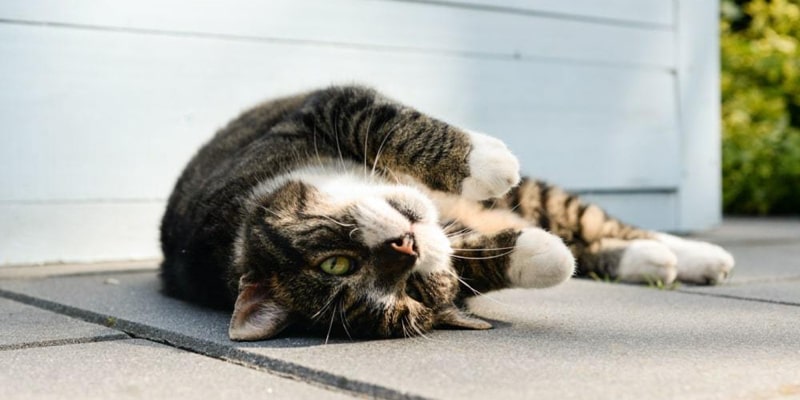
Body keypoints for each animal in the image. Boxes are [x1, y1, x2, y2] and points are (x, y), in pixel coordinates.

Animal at [159, 84, 736, 340]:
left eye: (333, 263)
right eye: (410, 290)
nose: (407, 246)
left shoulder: (320, 108)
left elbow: (388, 120)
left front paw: (488, 162)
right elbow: (473, 263)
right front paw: (543, 256)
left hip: (533, 196)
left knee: (596, 221)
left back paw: (699, 255)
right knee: (589, 239)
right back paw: (652, 261)